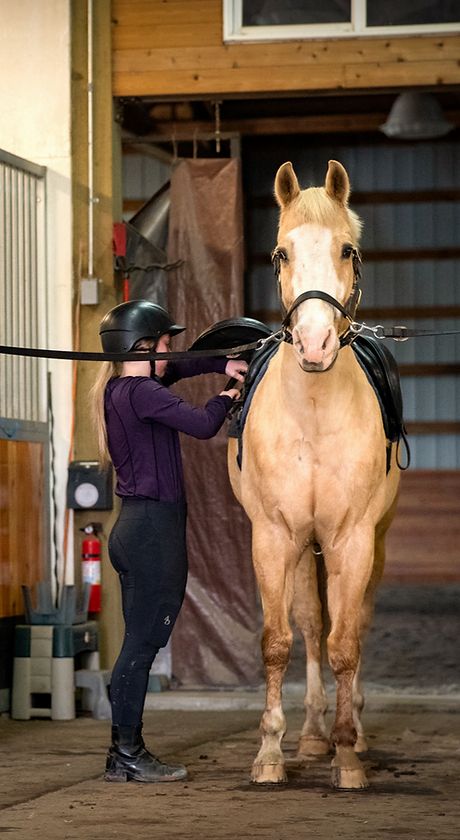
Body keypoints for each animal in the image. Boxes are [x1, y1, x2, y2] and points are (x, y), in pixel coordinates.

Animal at [228, 160, 400, 790]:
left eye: (347, 249)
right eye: (281, 253)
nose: (315, 343)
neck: (314, 411)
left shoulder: (352, 538)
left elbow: (344, 643)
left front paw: (348, 757)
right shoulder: (275, 537)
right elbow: (279, 642)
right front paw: (270, 755)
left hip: (370, 544)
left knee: (354, 625)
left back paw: (352, 733)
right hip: (304, 548)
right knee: (307, 626)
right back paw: (308, 735)